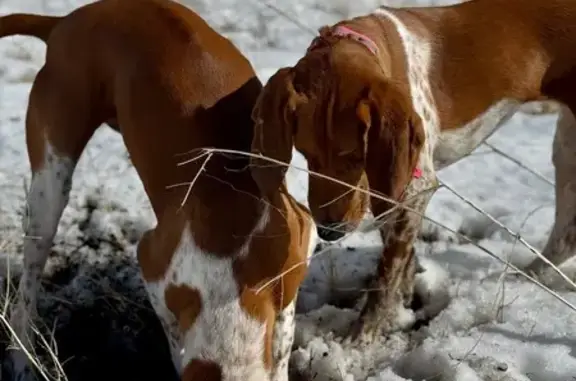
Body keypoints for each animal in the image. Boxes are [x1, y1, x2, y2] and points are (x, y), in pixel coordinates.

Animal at [0, 0, 316, 380]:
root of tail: (66, 22)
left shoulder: (299, 243)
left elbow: (282, 338)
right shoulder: (153, 266)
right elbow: (174, 333)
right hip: (50, 183)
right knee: (29, 281)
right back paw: (21, 356)